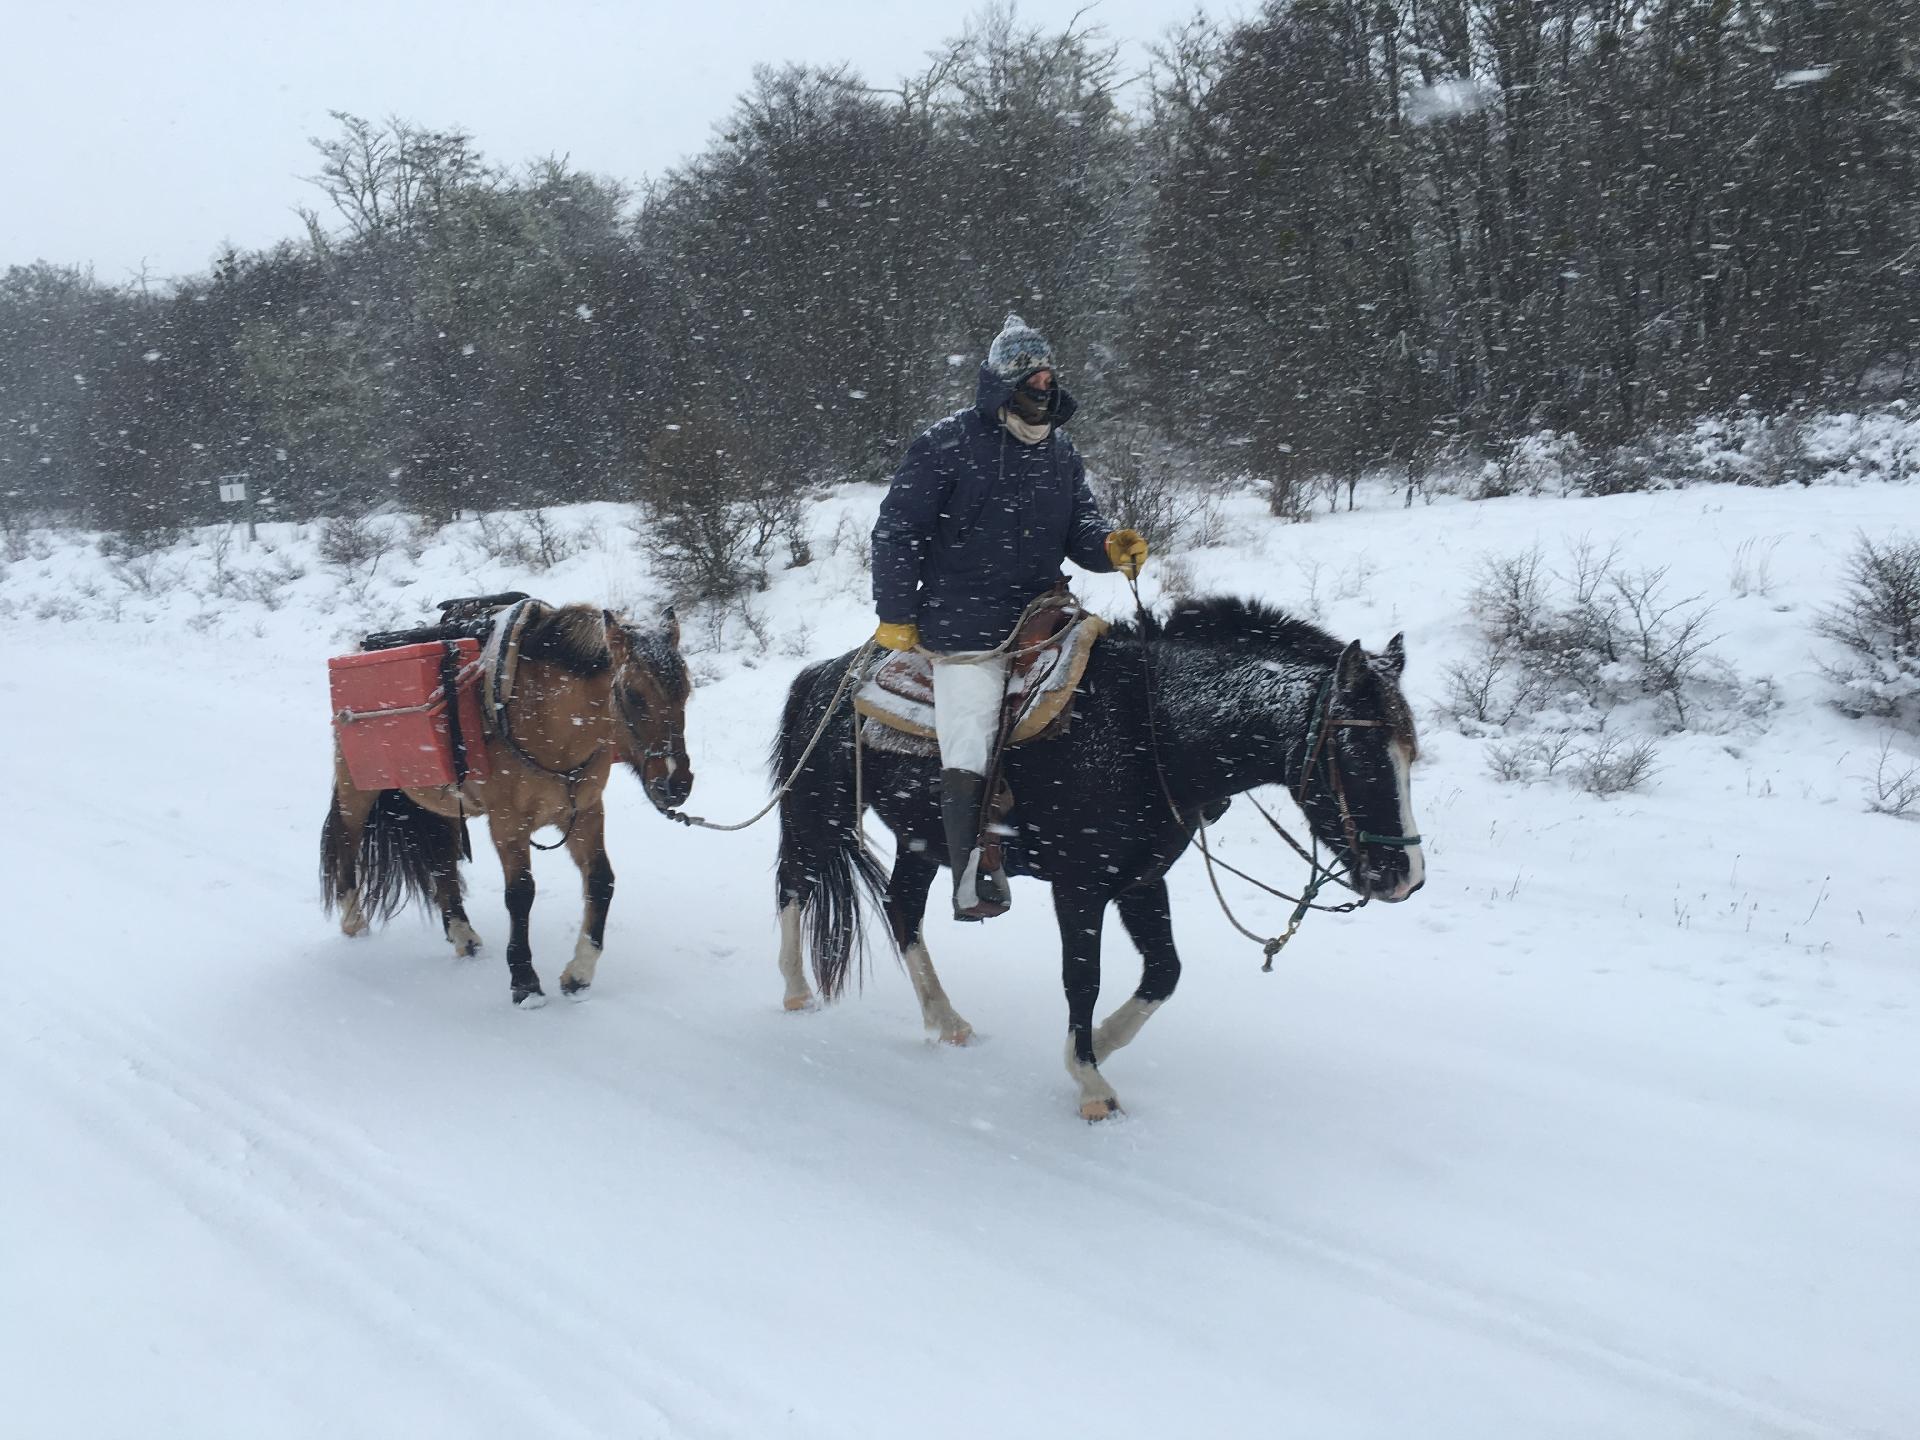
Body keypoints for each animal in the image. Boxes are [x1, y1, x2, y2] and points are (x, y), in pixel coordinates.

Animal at [318, 602, 695, 1006]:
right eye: (633, 694)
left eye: (686, 692)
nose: (677, 784)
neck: (547, 720)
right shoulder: (507, 824)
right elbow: (520, 894)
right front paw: (525, 982)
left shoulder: (586, 813)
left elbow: (601, 881)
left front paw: (579, 973)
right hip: (357, 790)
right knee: (347, 842)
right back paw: (353, 920)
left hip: (440, 803)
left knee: (441, 863)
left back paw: (463, 934)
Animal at [768, 602, 1428, 1121]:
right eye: (1358, 754)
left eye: (1410, 754)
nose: (1406, 879)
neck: (1150, 733)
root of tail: (823, 675)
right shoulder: (1078, 887)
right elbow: (1082, 979)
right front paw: (1089, 1081)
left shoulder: (1140, 881)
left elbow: (1164, 973)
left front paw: (1103, 1045)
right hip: (820, 811)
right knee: (795, 884)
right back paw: (797, 991)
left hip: (919, 839)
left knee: (901, 908)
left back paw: (947, 1020)